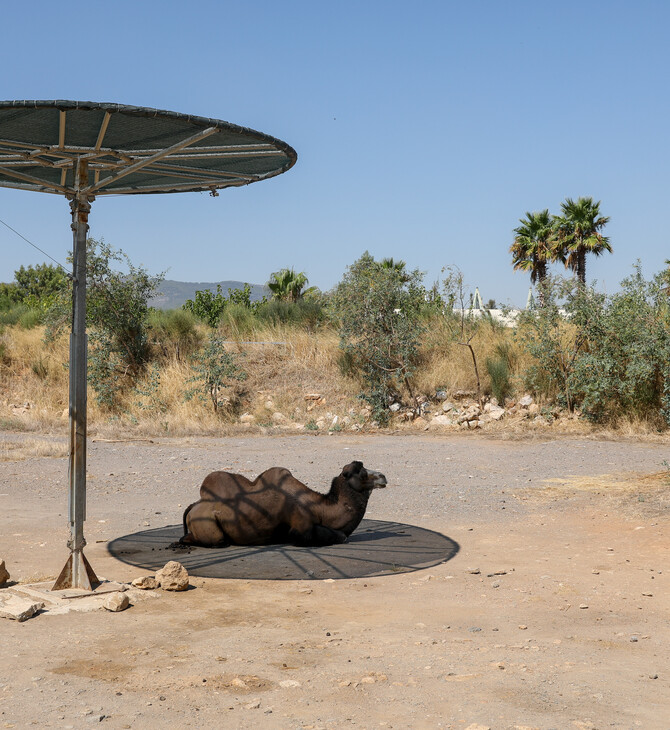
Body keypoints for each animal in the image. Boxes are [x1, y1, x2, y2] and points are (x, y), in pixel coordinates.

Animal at [178, 460, 388, 544]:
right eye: (362, 473)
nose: (383, 476)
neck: (322, 509)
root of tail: (193, 506)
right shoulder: (300, 528)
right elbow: (341, 536)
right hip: (208, 526)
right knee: (216, 540)